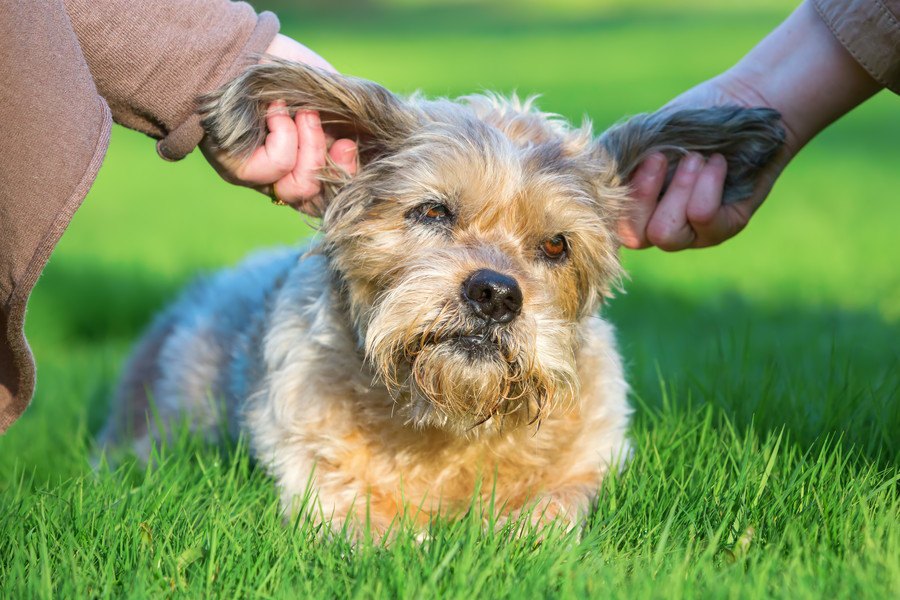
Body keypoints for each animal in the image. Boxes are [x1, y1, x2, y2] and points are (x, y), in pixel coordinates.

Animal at [102, 59, 784, 540]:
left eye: (557, 245)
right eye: (432, 211)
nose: (496, 294)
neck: (449, 423)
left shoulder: (591, 465)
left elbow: (552, 514)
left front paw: (512, 541)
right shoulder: (318, 475)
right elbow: (375, 530)